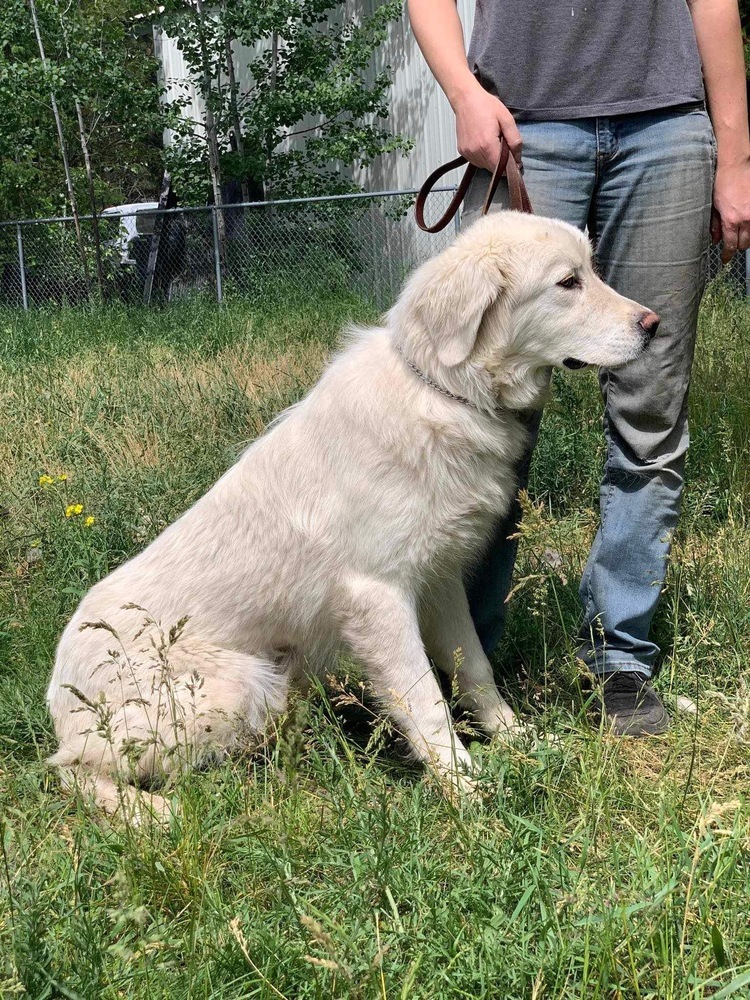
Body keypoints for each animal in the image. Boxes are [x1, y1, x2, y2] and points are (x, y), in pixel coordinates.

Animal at [47, 213, 656, 812]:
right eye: (568, 283)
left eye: (592, 270)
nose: (653, 324)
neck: (444, 391)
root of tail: (58, 692)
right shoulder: (379, 598)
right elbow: (425, 699)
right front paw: (464, 788)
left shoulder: (438, 581)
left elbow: (474, 669)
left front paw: (520, 740)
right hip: (238, 687)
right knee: (71, 771)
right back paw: (154, 813)